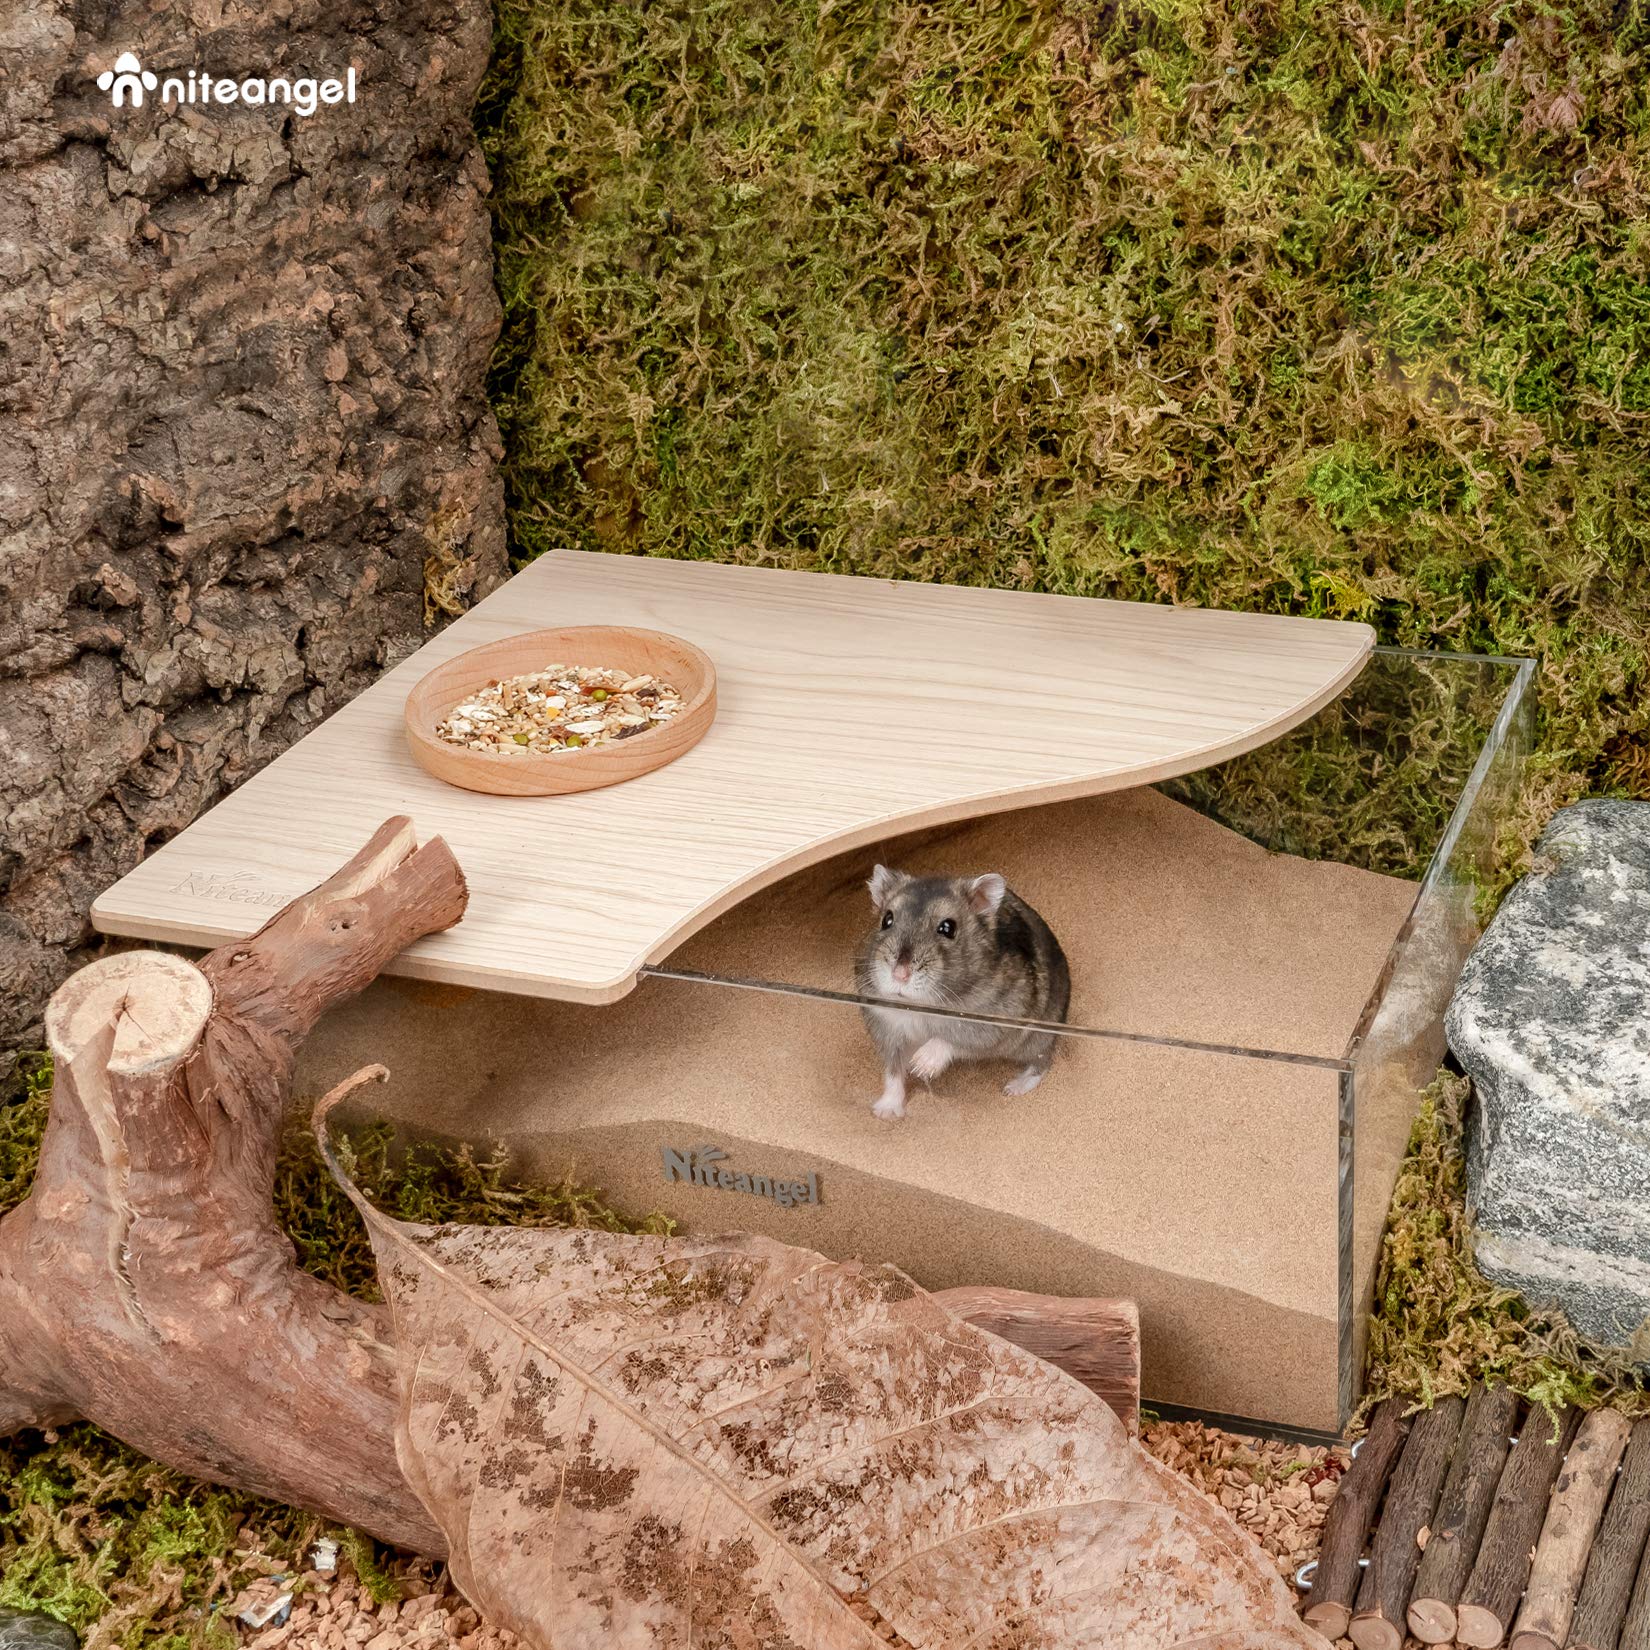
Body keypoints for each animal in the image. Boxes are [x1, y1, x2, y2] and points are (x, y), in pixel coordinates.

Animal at [854, 865, 1071, 1120]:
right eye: (886, 920)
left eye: (948, 928)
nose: (899, 974)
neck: (920, 1005)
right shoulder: (885, 1029)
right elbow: (893, 1072)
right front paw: (885, 1113)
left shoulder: (991, 1022)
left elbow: (950, 1038)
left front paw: (920, 1066)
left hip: (1039, 1038)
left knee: (1043, 1062)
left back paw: (1012, 1088)